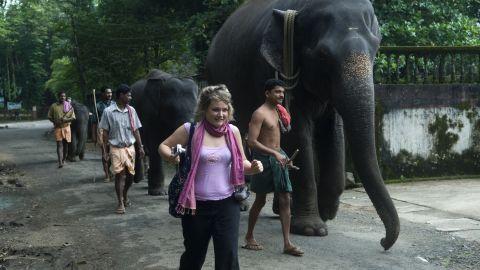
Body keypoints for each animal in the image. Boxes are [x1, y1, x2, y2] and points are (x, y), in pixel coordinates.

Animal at [205, 0, 398, 250]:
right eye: (323, 55)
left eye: (376, 48)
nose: (384, 241)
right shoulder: (272, 69)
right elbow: (296, 132)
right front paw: (311, 229)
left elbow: (332, 130)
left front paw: (327, 212)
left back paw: (279, 209)